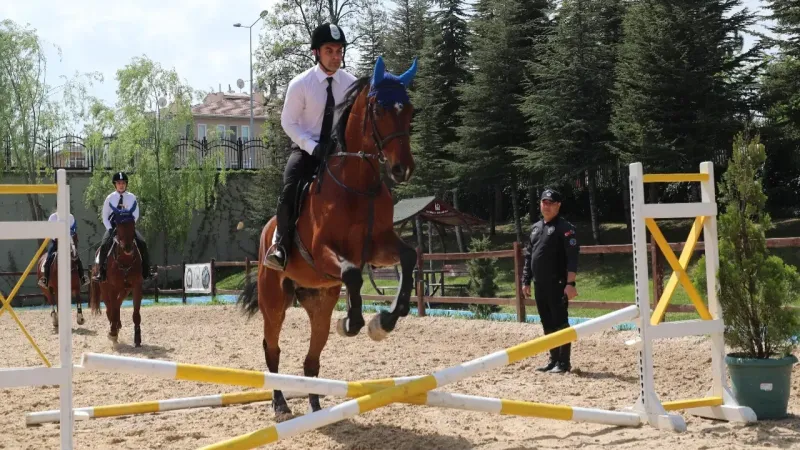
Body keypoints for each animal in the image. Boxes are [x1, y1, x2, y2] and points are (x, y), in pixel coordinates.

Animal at [90, 205, 145, 348]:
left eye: (132, 224)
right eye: (119, 226)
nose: (128, 247)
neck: (125, 261)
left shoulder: (136, 286)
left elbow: (136, 313)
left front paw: (137, 339)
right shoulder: (112, 287)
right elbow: (113, 309)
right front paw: (113, 333)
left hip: (125, 289)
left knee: (118, 303)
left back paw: (117, 325)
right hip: (105, 288)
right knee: (110, 307)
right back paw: (113, 328)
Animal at [238, 56, 418, 414]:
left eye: (410, 110)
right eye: (379, 109)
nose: (402, 168)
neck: (357, 183)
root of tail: (266, 231)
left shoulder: (377, 246)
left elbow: (409, 256)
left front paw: (386, 320)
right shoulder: (324, 253)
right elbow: (352, 274)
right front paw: (353, 323)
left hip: (319, 301)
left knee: (311, 360)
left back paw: (316, 406)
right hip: (274, 302)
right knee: (272, 349)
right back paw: (280, 404)